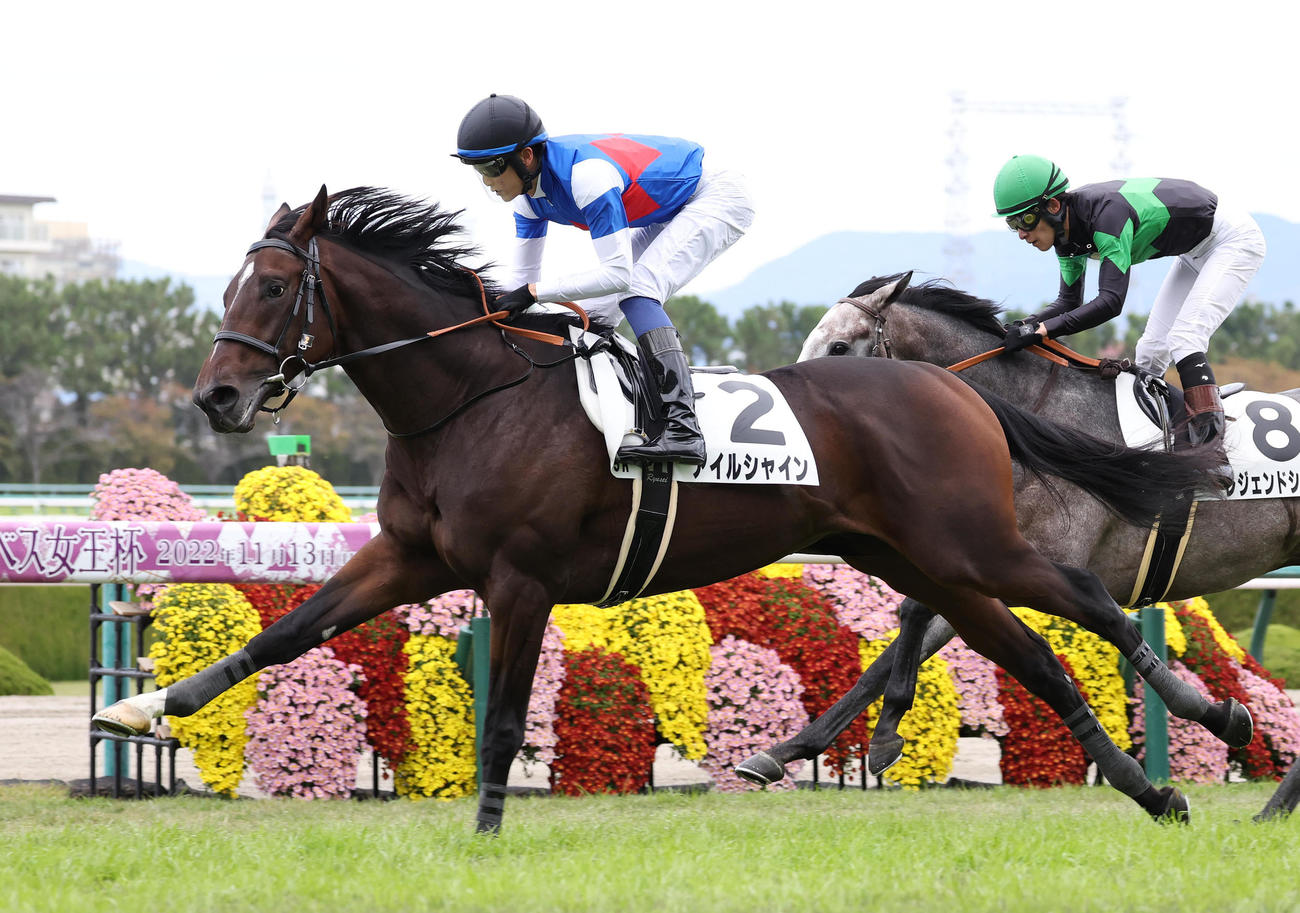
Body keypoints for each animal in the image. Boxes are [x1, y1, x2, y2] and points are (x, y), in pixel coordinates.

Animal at [94, 188, 1228, 829]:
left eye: (272, 287)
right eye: (232, 283)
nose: (217, 396)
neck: (472, 396)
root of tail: (959, 388)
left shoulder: (520, 578)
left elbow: (503, 716)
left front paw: (486, 831)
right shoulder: (413, 556)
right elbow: (285, 632)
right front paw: (142, 707)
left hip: (971, 543)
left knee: (1088, 599)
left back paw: (1210, 713)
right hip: (917, 558)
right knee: (1032, 656)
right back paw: (1156, 791)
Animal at [737, 272, 1287, 787]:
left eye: (838, 347)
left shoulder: (1025, 565)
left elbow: (908, 629)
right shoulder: (976, 558)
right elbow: (896, 639)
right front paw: (787, 751)